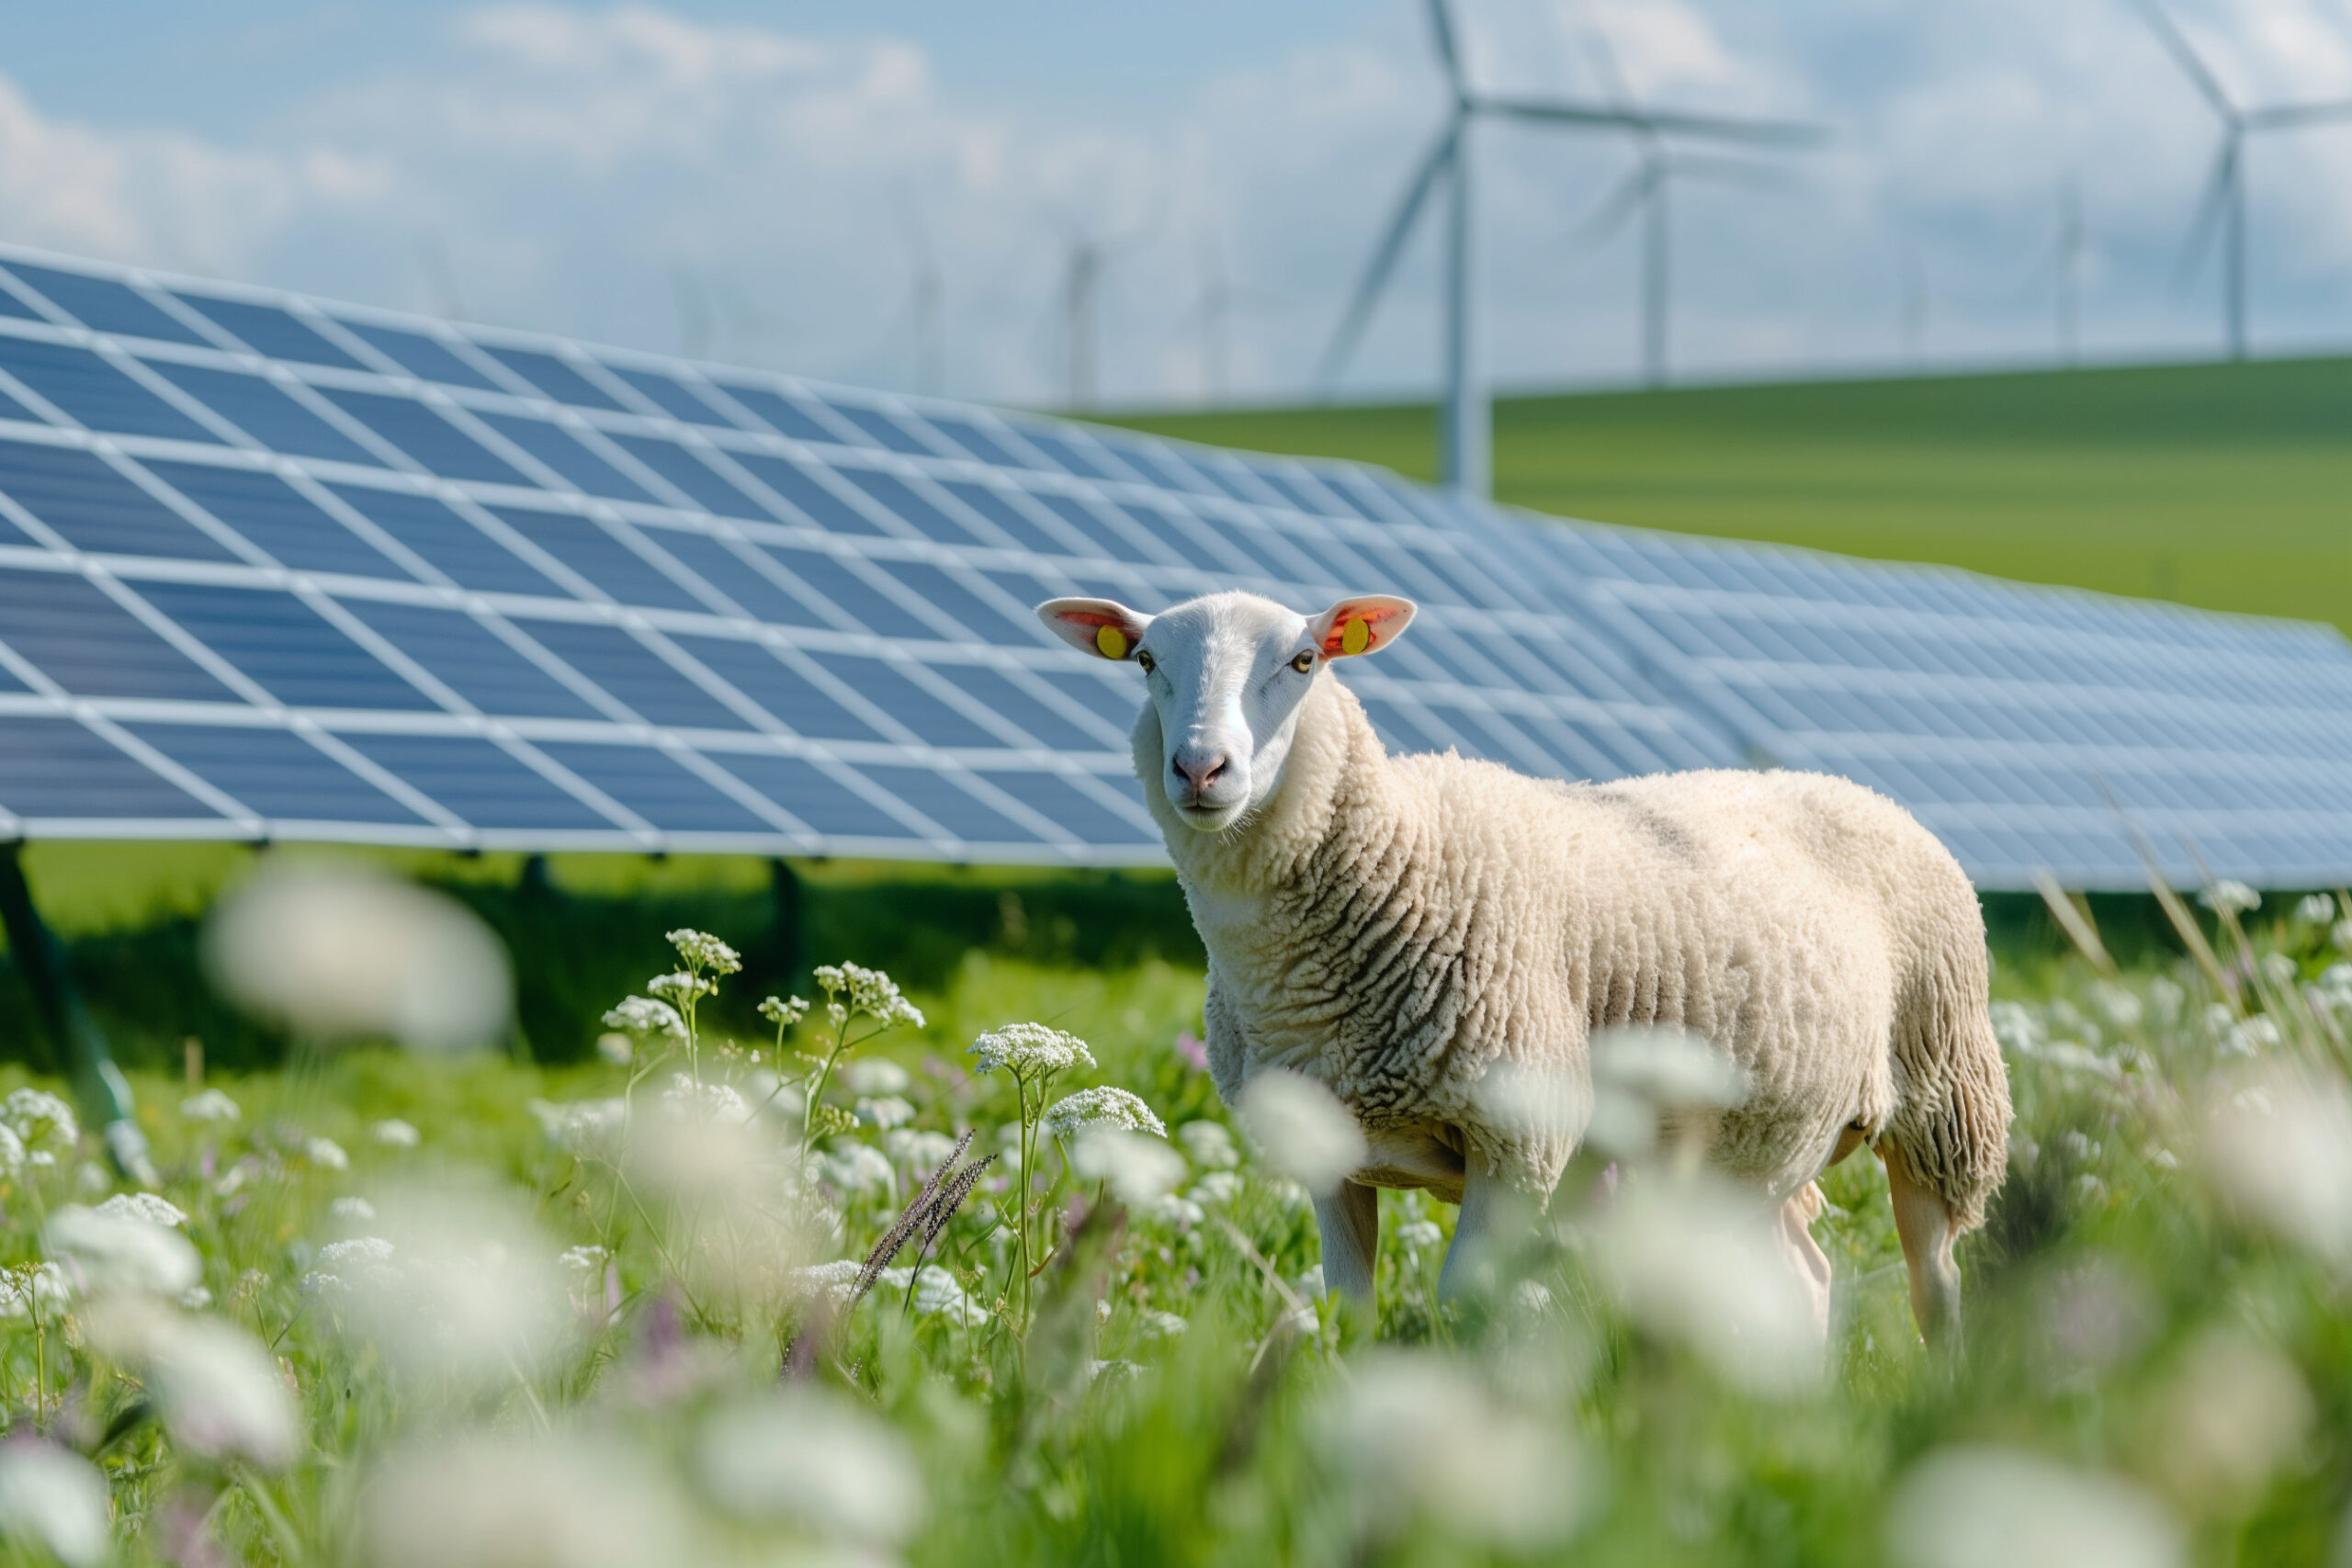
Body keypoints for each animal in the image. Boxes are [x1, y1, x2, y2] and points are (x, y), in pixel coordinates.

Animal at [1039, 582, 2013, 1344]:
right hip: (1750, 1149)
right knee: (1801, 1274)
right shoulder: (1328, 1151)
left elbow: (1466, 1302)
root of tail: (1851, 786)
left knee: (1936, 1279)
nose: (1201, 768)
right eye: (1145, 661)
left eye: (1306, 660)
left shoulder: (1522, 1130)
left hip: (1943, 1097)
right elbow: (1347, 1307)